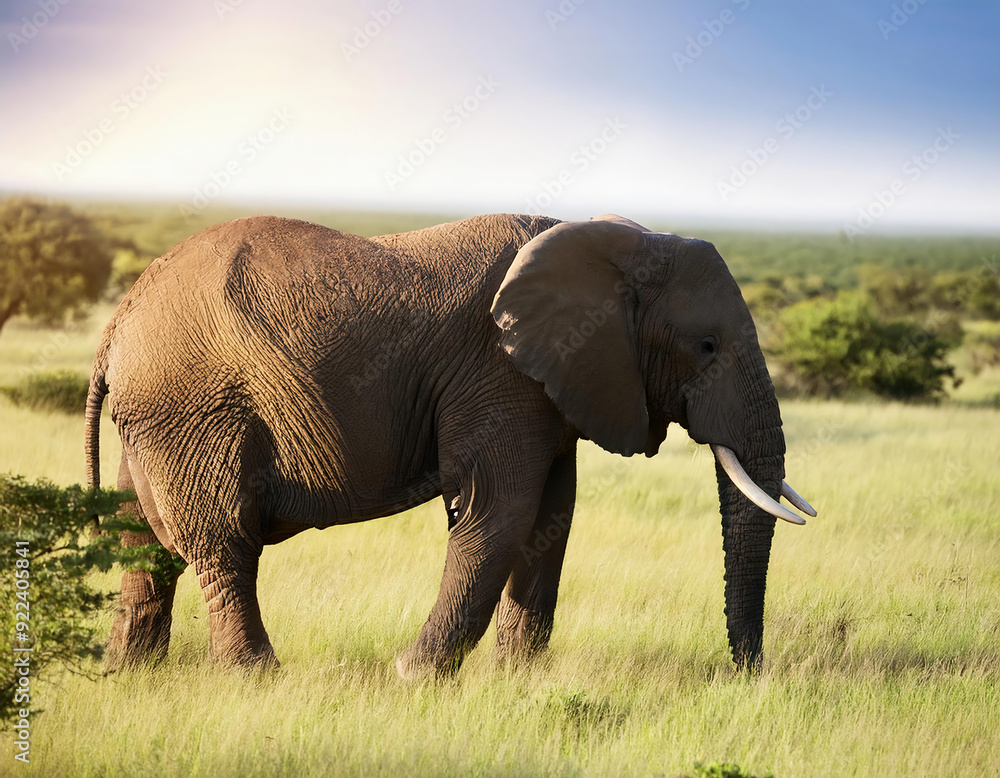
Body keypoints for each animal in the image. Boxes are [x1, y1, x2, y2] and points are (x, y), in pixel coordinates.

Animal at [85, 212, 815, 678]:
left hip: (156, 417)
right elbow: (500, 512)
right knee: (223, 542)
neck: (622, 242)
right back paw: (257, 680)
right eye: (707, 346)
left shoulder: (550, 386)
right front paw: (413, 676)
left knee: (143, 539)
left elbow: (551, 518)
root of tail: (119, 321)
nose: (749, 672)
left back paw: (131, 675)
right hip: (192, 407)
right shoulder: (498, 372)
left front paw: (519, 681)